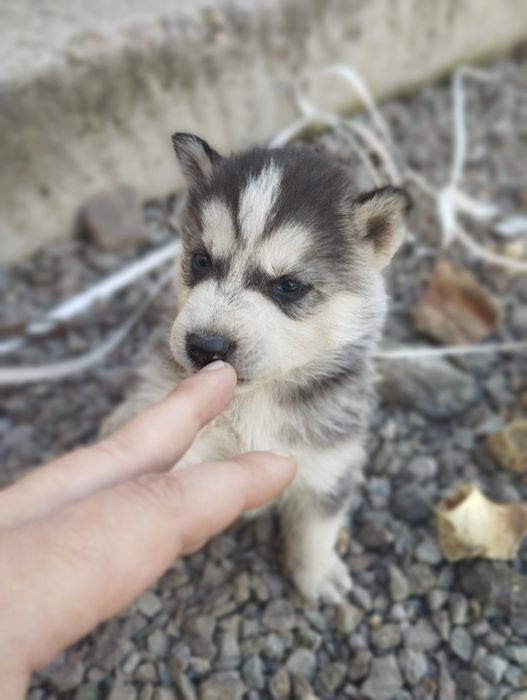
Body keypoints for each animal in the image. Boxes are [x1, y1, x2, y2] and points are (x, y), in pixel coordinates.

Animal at [104, 133, 410, 604]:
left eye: (289, 286)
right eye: (201, 260)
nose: (205, 346)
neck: (253, 400)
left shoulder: (328, 462)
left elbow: (316, 528)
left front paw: (317, 575)